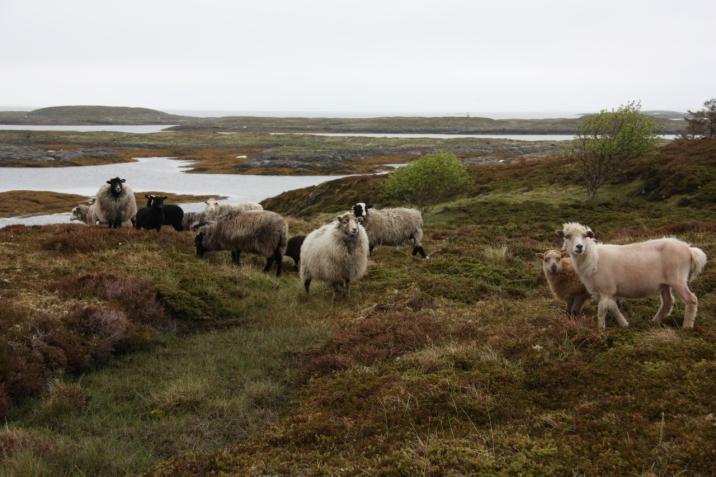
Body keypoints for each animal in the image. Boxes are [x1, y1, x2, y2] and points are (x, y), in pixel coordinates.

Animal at [560, 222, 704, 328]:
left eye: (585, 236)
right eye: (567, 236)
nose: (579, 247)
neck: (593, 259)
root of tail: (688, 249)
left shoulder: (606, 289)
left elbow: (601, 310)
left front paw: (601, 330)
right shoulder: (610, 292)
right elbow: (613, 307)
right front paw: (624, 324)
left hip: (678, 279)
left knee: (691, 299)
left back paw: (687, 327)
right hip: (665, 284)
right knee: (668, 302)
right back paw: (654, 321)